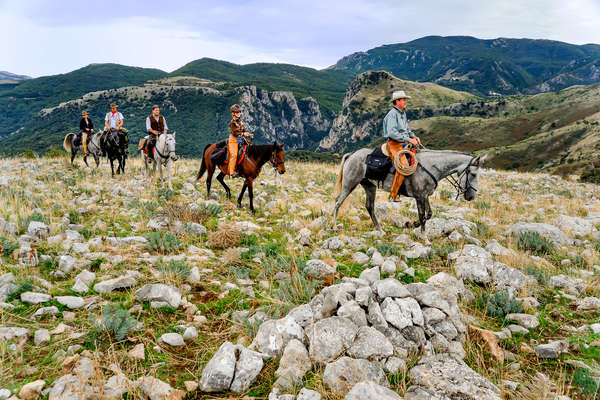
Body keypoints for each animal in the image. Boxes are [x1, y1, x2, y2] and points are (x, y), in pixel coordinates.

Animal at [332, 149, 488, 231]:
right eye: (473, 174)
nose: (471, 197)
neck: (430, 167)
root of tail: (352, 155)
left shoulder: (425, 196)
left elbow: (429, 214)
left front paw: (412, 224)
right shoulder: (419, 196)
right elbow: (422, 215)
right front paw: (424, 238)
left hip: (370, 186)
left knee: (369, 206)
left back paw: (379, 229)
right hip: (349, 184)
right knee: (338, 202)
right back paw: (333, 226)